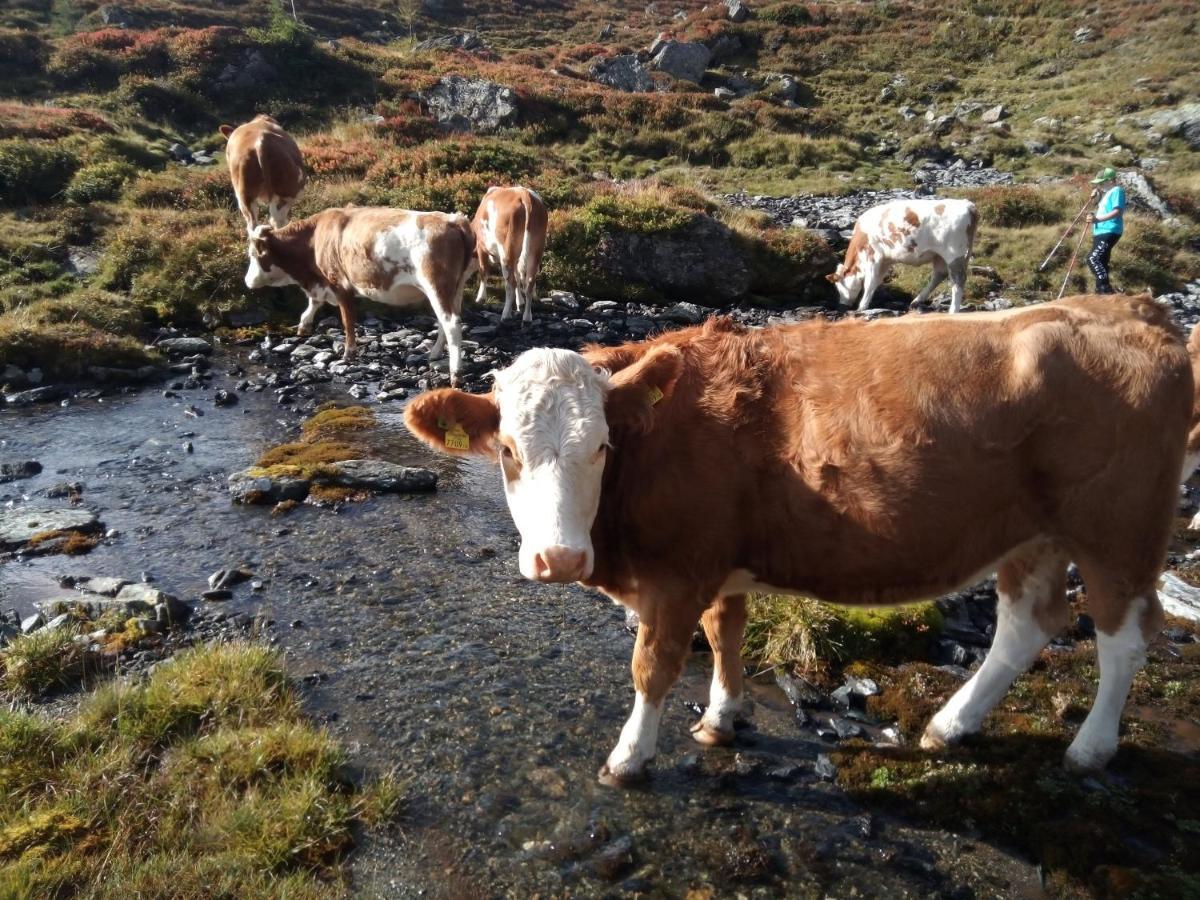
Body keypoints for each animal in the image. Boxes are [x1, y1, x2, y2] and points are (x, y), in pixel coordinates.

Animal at [242, 206, 472, 381]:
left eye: (253, 254)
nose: (247, 281)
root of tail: (453, 220)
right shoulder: (324, 283)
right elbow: (314, 302)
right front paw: (303, 325)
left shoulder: (339, 283)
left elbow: (347, 320)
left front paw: (348, 353)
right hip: (456, 288)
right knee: (447, 321)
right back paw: (434, 354)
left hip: (436, 285)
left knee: (451, 324)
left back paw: (456, 373)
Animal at [405, 297, 1200, 787]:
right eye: (509, 451)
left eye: (601, 445)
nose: (560, 559)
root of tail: (1136, 310)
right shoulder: (719, 564)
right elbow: (726, 635)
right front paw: (721, 719)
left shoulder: (676, 574)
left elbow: (653, 669)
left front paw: (629, 758)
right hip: (1033, 534)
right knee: (1026, 624)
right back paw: (952, 725)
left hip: (1118, 531)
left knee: (1125, 635)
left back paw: (1089, 749)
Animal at [468, 184, 549, 321]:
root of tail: (524, 194)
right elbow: (517, 276)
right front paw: (520, 303)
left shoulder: (481, 246)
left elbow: (484, 271)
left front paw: (480, 298)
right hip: (535, 249)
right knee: (529, 282)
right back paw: (527, 317)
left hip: (506, 250)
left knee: (510, 283)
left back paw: (506, 314)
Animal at [830, 196, 979, 314]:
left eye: (839, 285)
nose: (842, 305)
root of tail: (968, 205)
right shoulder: (885, 259)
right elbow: (877, 281)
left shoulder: (873, 255)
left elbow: (870, 282)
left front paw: (862, 307)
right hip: (940, 255)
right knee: (939, 275)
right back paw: (917, 301)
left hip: (954, 254)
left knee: (958, 280)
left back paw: (953, 310)